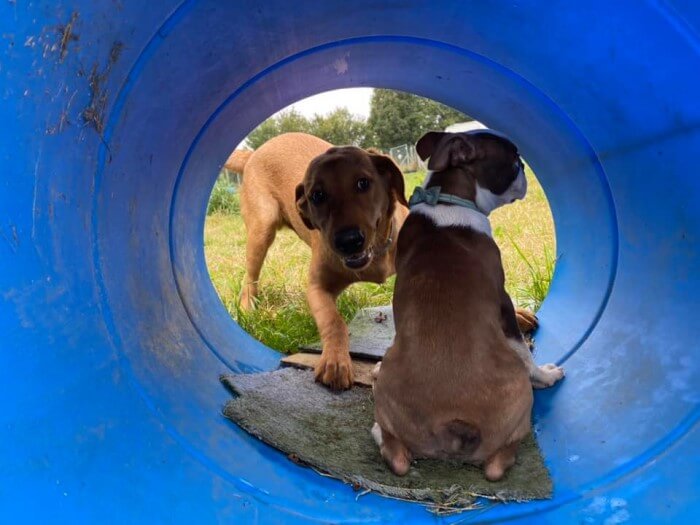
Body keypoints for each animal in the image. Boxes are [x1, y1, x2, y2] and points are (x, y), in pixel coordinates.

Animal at [372, 130, 564, 478]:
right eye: (513, 161)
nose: (524, 168)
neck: (448, 197)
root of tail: (453, 422)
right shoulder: (503, 301)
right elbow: (522, 346)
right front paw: (544, 373)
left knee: (399, 457)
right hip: (517, 399)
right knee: (498, 461)